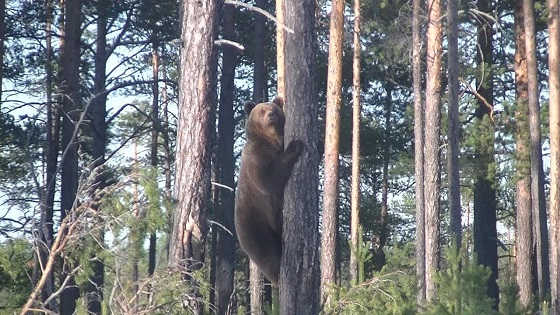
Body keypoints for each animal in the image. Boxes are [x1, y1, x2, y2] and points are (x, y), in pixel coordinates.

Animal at [234, 96, 304, 286]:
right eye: (262, 110)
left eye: (274, 108)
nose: (271, 115)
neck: (272, 140)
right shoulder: (256, 158)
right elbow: (268, 180)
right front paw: (296, 145)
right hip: (255, 225)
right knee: (267, 255)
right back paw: (279, 274)